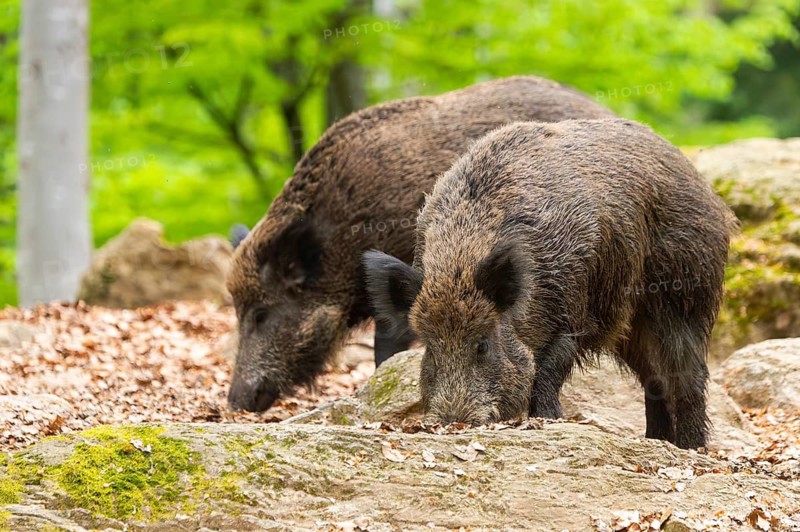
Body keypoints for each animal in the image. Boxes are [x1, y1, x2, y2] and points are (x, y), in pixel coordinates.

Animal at [364, 118, 737, 449]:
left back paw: (690, 446)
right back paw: (656, 440)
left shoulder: (572, 310)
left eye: (482, 345)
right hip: (631, 327)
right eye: (430, 346)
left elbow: (548, 371)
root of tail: (711, 194)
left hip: (685, 292)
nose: (453, 422)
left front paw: (549, 420)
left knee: (687, 375)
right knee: (652, 378)